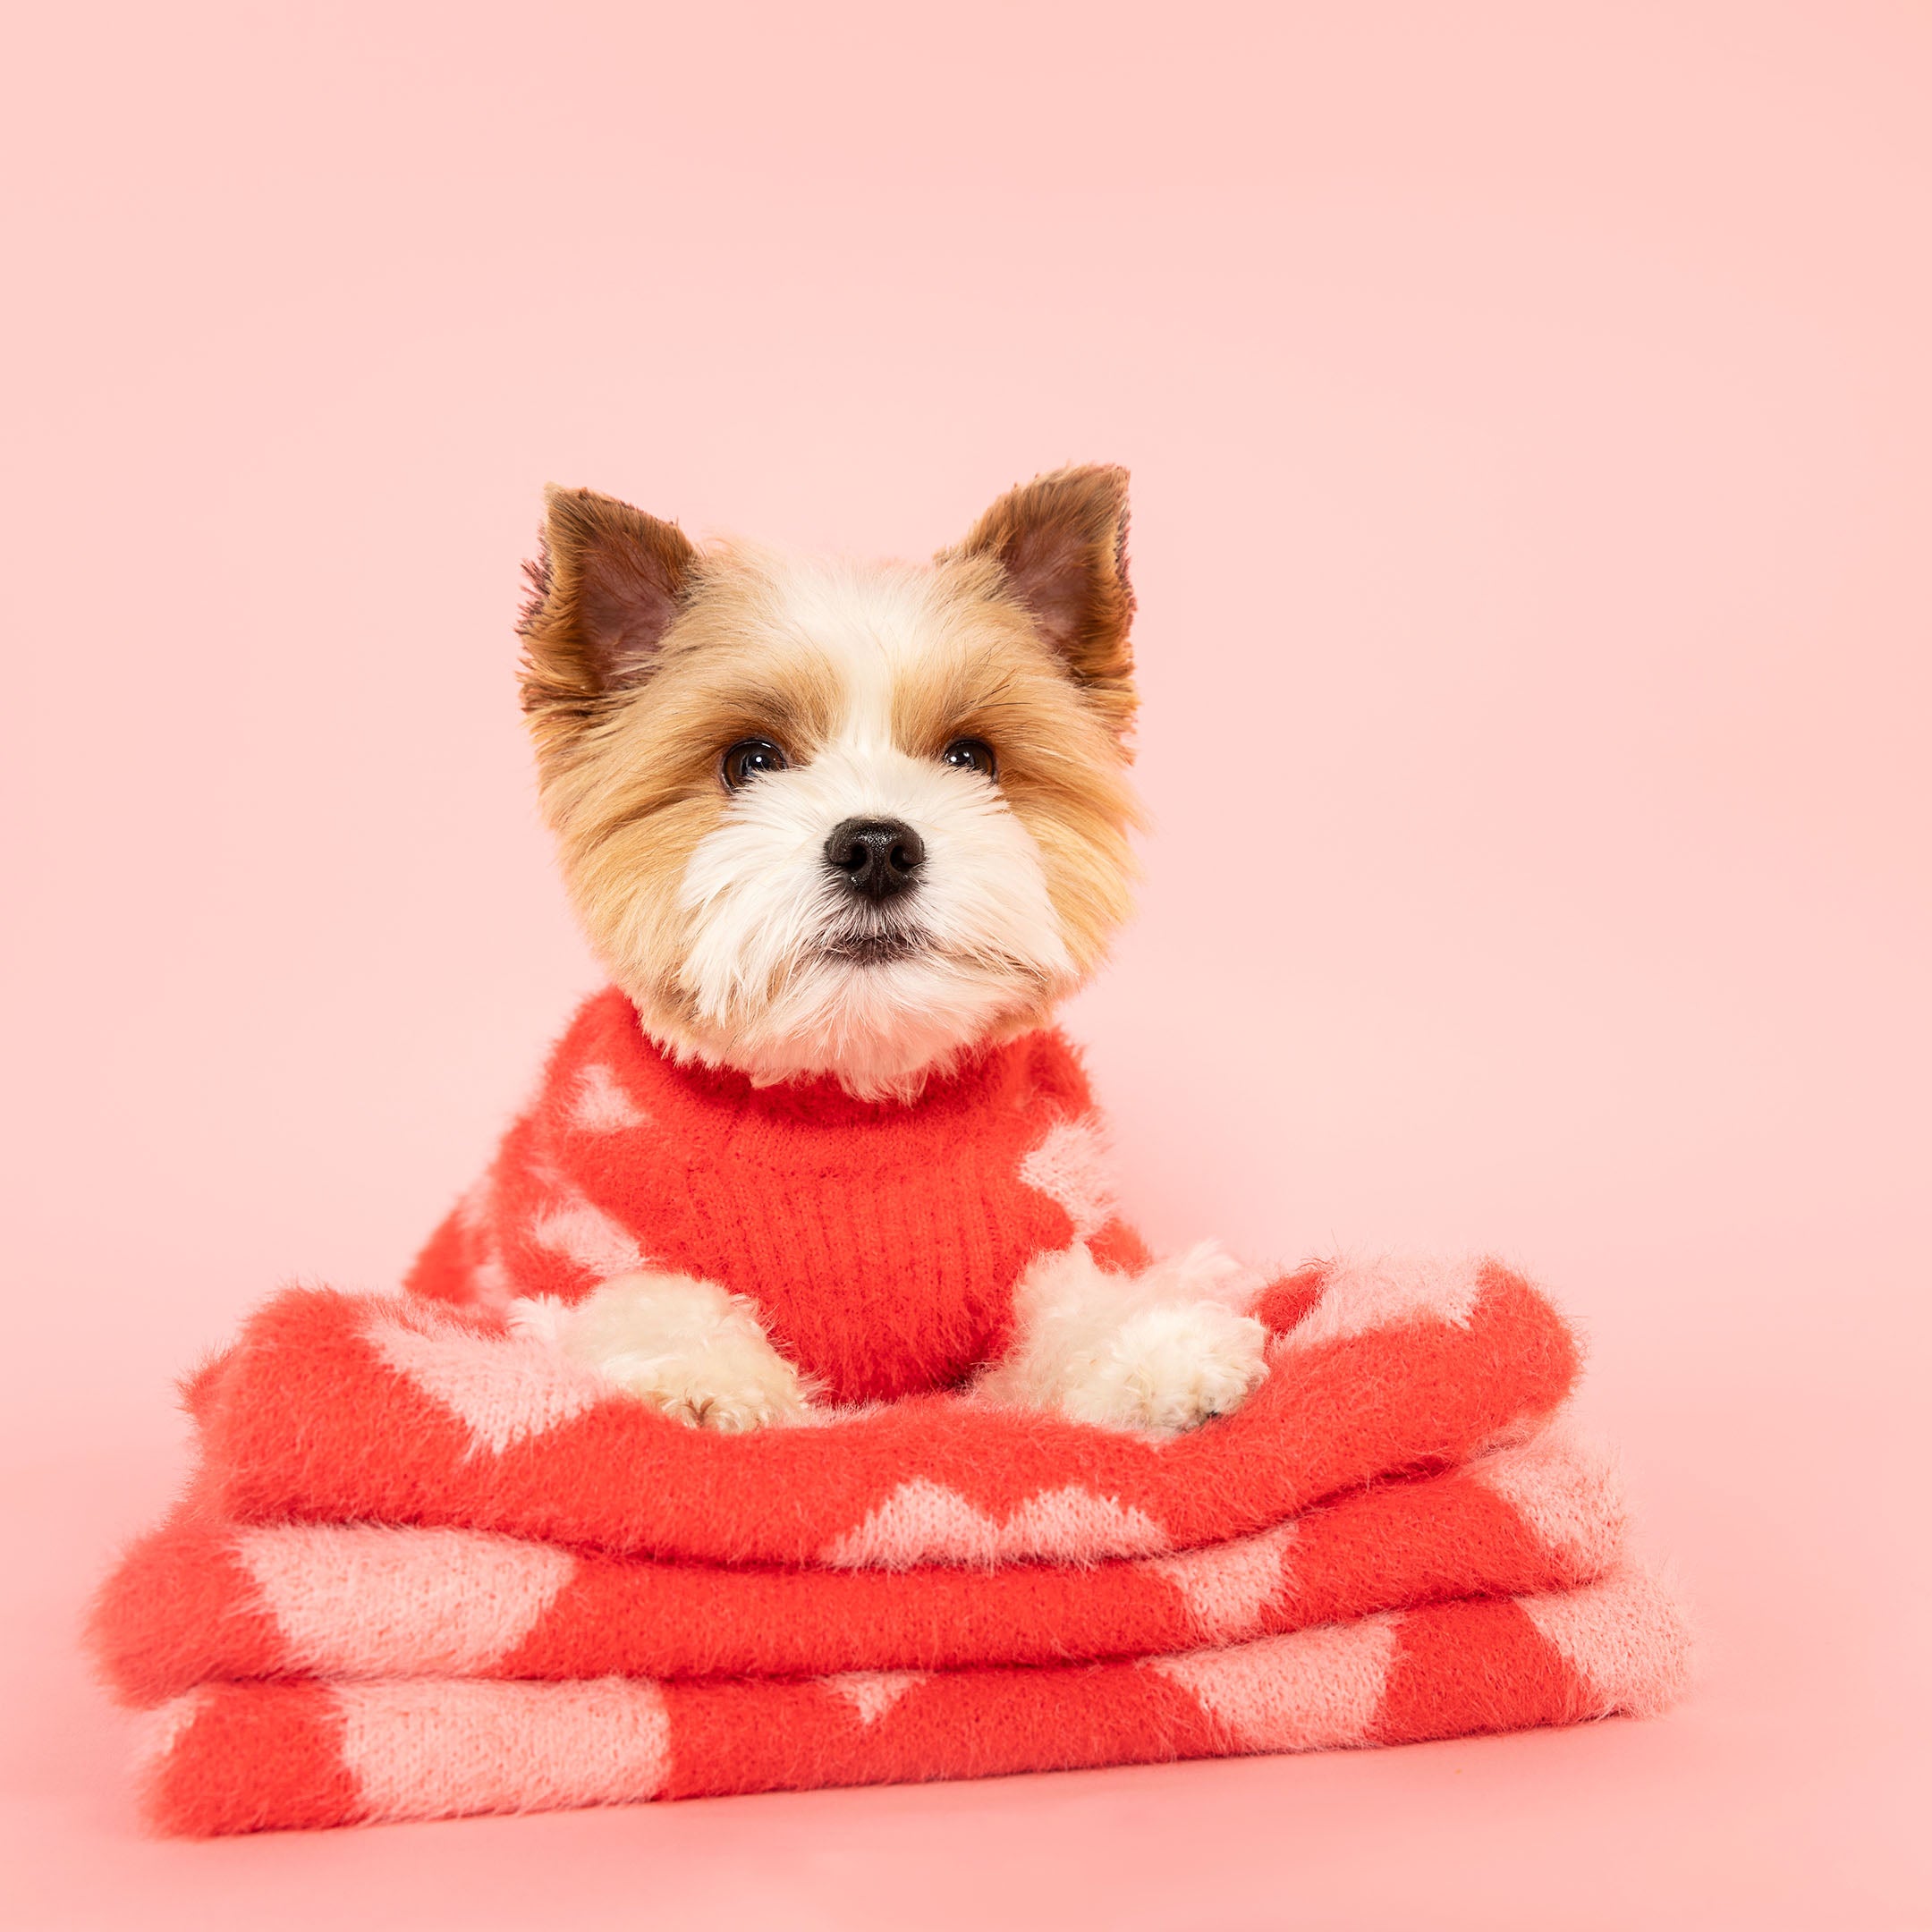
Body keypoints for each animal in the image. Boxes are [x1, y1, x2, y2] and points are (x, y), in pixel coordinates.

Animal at [407, 463, 1267, 1437]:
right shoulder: (567, 1239)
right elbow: (639, 1303)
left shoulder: (1060, 1233)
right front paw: (706, 1374)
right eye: (749, 760)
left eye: (972, 757)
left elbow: (1082, 1305)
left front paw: (1157, 1351)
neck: (846, 1104)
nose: (878, 846)